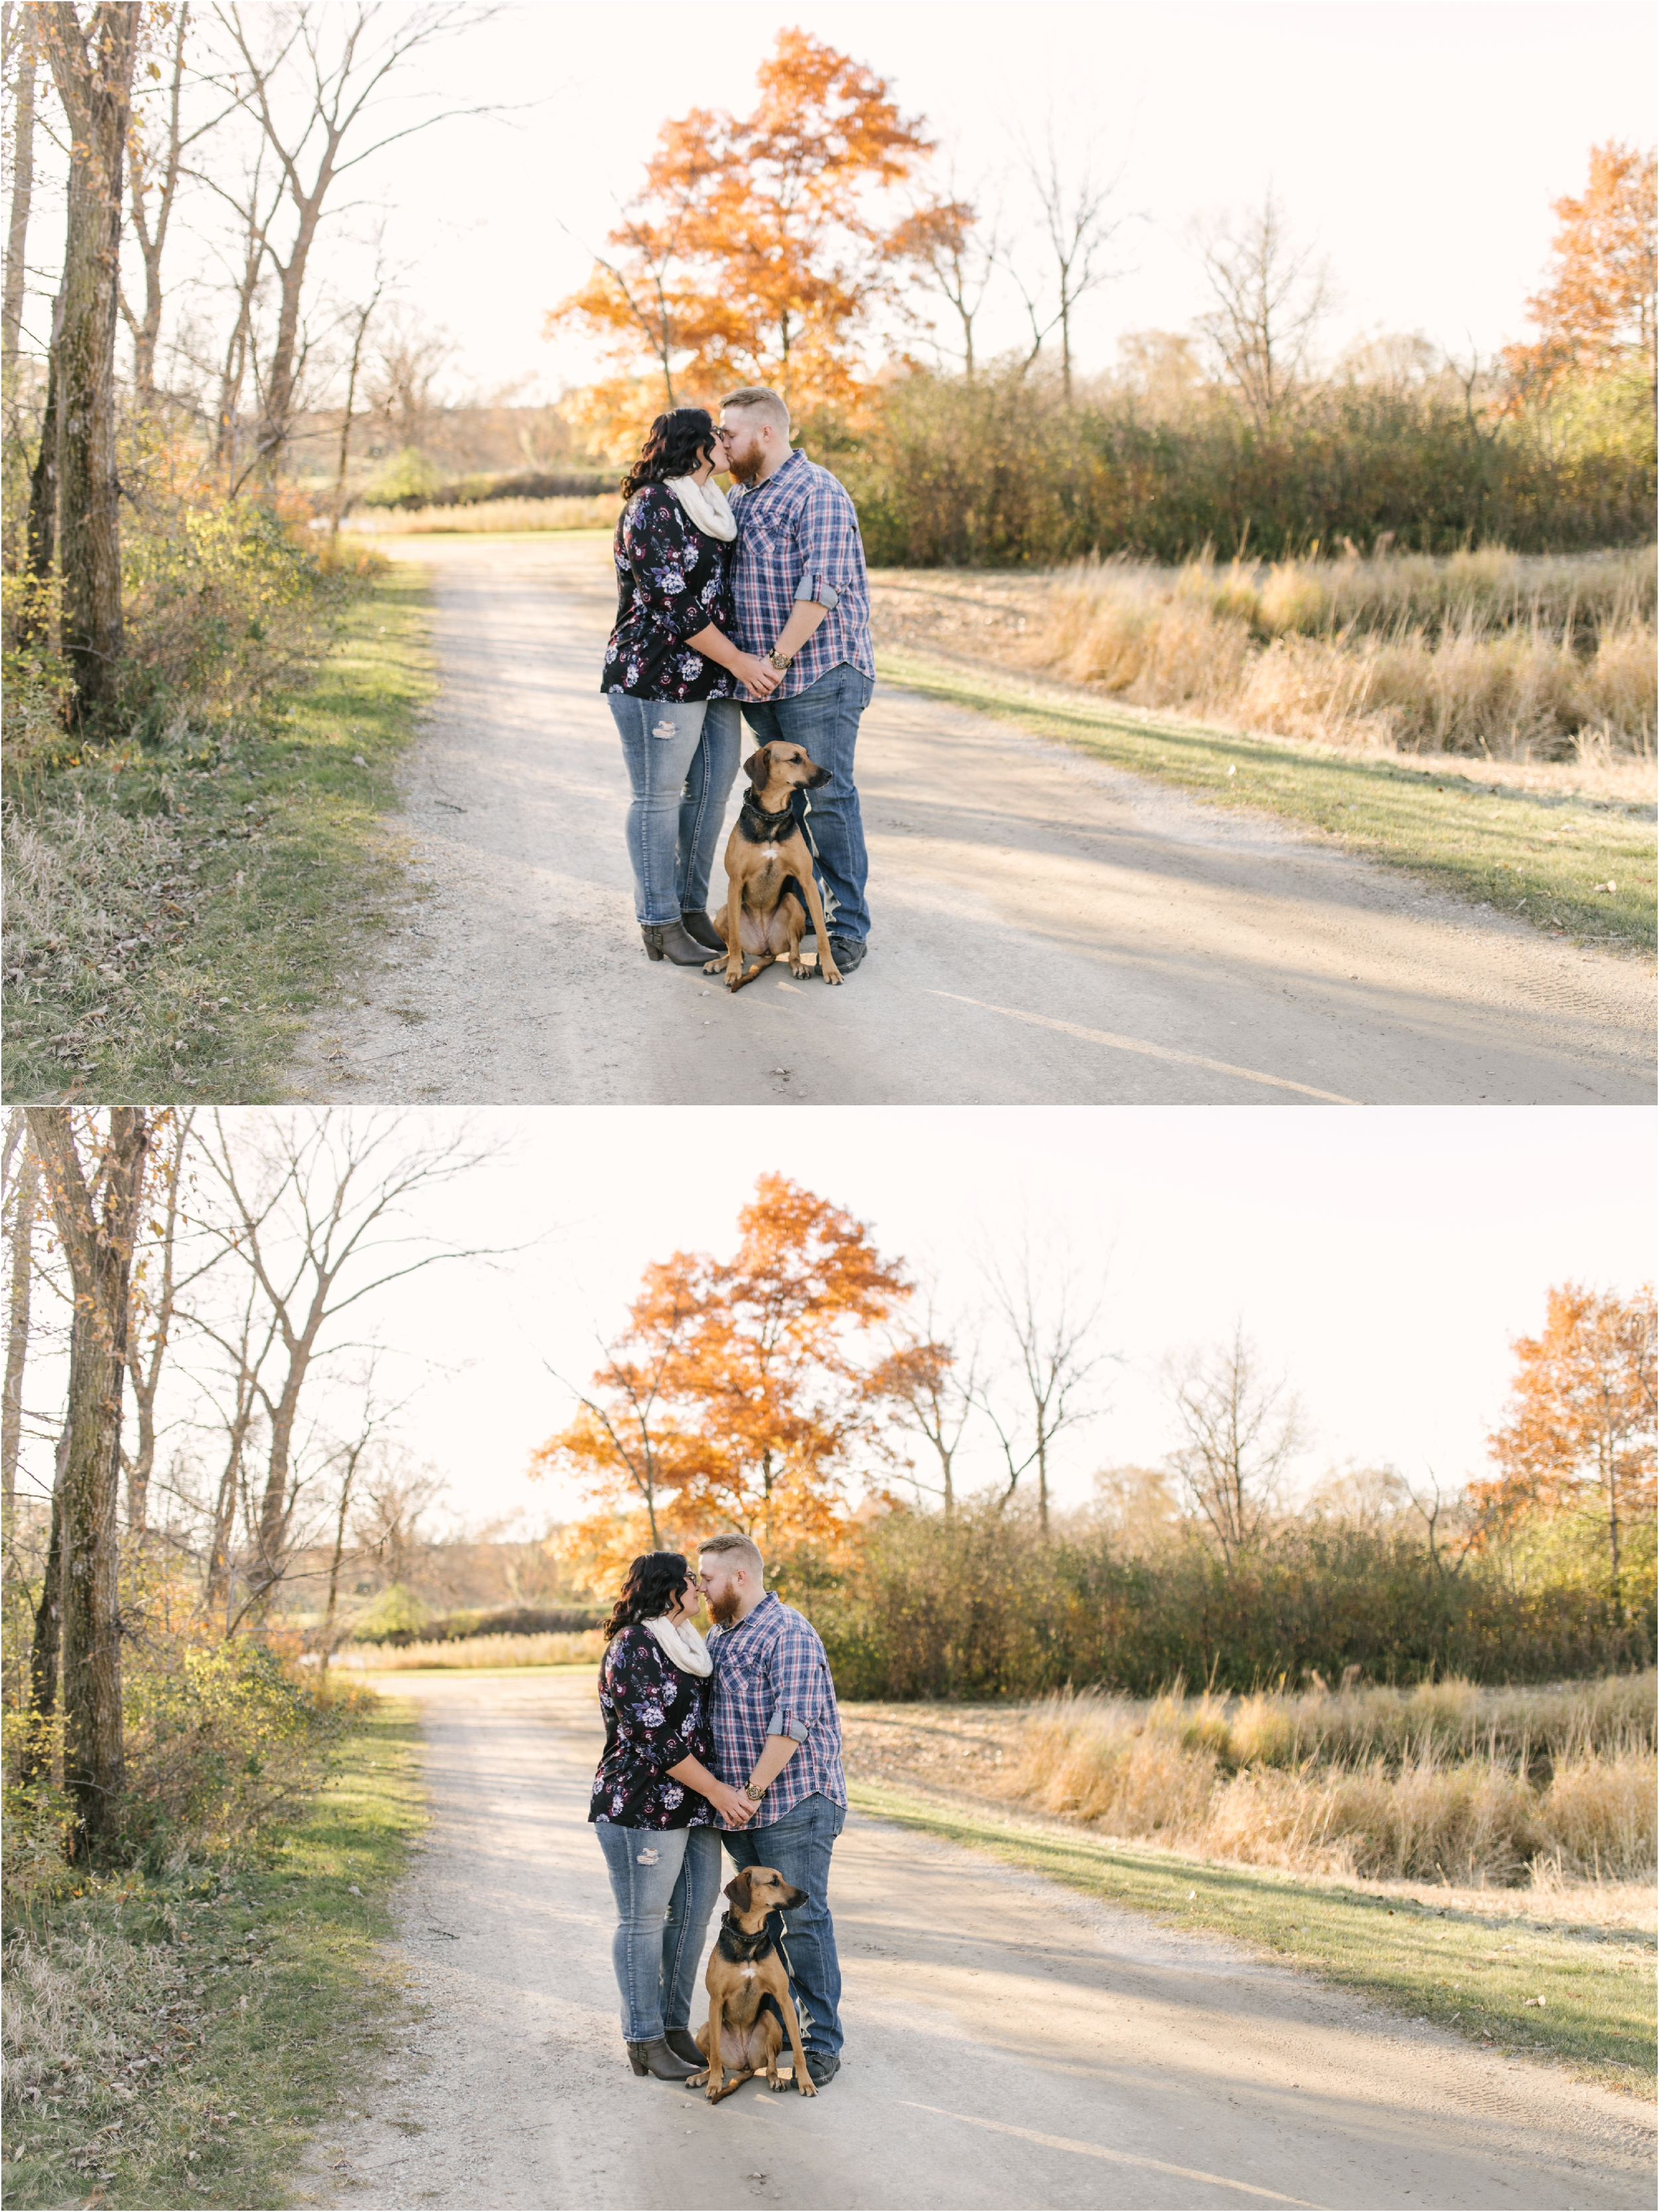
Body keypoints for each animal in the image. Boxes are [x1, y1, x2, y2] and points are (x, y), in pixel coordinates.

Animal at [690, 1866, 818, 2105]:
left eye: (783, 1878)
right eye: (774, 1882)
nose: (806, 1895)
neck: (749, 1938)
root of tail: (745, 2064)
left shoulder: (783, 1997)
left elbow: (798, 2050)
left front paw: (806, 2082)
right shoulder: (716, 2000)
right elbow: (715, 2056)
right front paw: (713, 2085)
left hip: (770, 2020)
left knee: (770, 2065)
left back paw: (775, 2080)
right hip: (705, 2029)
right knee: (718, 2063)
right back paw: (703, 2077)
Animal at [707, 738, 849, 991]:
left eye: (808, 755)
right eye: (795, 759)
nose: (830, 774)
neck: (771, 818)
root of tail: (766, 949)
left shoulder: (807, 880)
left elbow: (822, 935)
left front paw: (830, 969)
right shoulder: (735, 882)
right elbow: (734, 940)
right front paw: (733, 971)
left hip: (793, 905)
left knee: (793, 951)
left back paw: (799, 966)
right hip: (724, 911)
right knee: (737, 949)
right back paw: (722, 963)